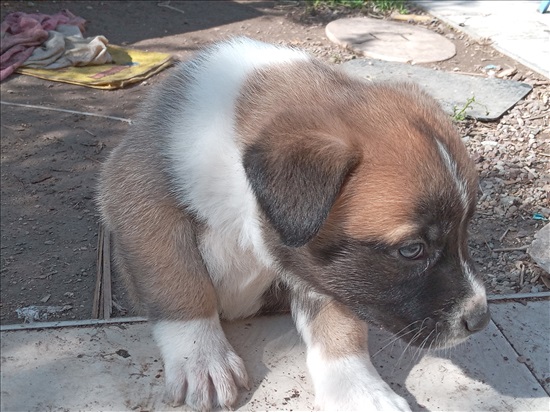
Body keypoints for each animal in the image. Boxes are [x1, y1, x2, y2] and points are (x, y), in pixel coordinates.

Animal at [98, 37, 492, 410]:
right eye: (412, 250)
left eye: (466, 229)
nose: (480, 320)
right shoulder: (142, 199)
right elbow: (180, 281)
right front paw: (202, 358)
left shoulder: (321, 271)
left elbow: (342, 324)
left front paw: (359, 390)